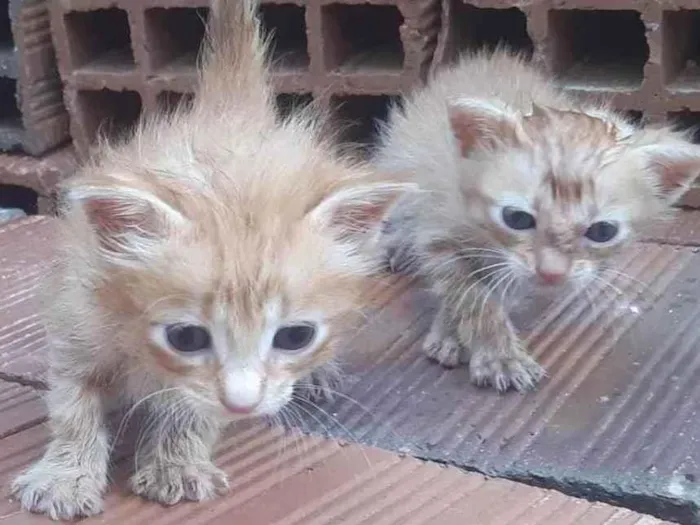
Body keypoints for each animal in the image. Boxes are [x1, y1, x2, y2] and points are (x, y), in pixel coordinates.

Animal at [10, 0, 412, 520]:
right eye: (186, 337)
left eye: (295, 337)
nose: (244, 406)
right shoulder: (76, 318)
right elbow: (72, 406)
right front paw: (66, 474)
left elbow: (193, 407)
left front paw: (176, 462)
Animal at [374, 50, 700, 392]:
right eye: (516, 218)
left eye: (602, 231)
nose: (552, 274)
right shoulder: (439, 228)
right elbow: (470, 293)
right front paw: (496, 352)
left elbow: (495, 287)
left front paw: (458, 334)